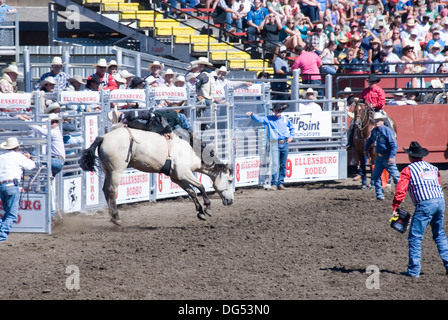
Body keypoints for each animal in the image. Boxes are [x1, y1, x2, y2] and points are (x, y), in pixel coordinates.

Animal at [79, 126, 234, 226]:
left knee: (105, 190)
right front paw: (208, 208)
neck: (190, 151)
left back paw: (113, 217)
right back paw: (116, 218)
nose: (231, 201)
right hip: (117, 170)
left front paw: (200, 212)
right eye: (230, 180)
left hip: (108, 170)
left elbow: (191, 192)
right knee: (111, 190)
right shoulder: (184, 173)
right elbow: (200, 186)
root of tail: (104, 137)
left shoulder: (177, 178)